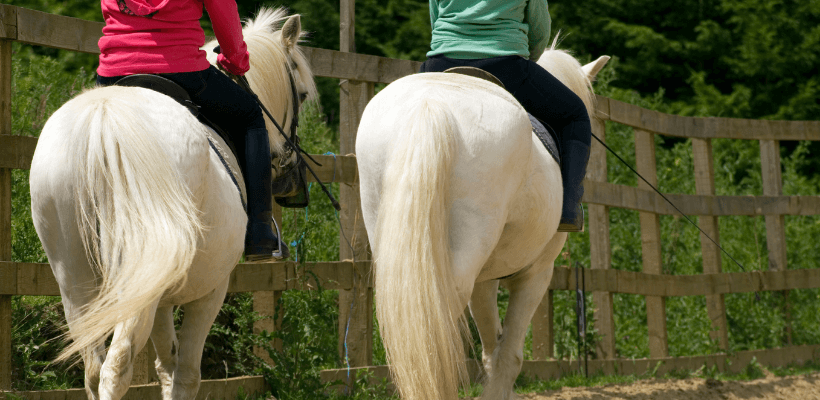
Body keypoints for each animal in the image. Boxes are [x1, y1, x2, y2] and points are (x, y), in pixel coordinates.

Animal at [29, 9, 318, 400]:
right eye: (300, 94)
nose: (290, 181)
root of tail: (104, 115)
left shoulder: (161, 294)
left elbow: (166, 366)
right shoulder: (211, 290)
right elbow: (187, 374)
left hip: (78, 282)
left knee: (93, 370)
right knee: (116, 368)